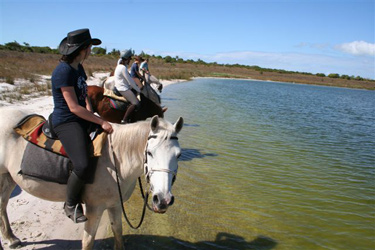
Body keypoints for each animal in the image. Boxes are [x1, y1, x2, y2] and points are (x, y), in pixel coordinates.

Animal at [0, 108, 184, 250]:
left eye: (178, 155)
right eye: (150, 153)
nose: (163, 200)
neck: (115, 160)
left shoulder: (115, 204)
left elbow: (118, 232)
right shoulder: (94, 208)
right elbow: (88, 242)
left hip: (8, 178)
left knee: (2, 205)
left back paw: (11, 238)